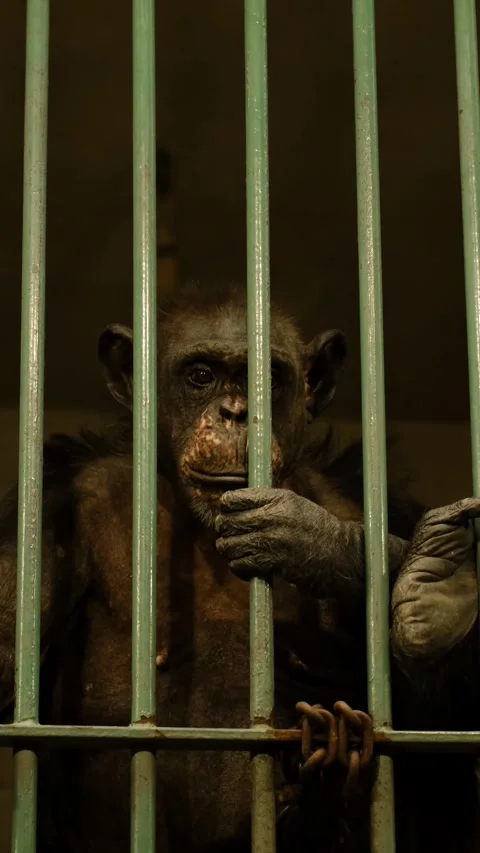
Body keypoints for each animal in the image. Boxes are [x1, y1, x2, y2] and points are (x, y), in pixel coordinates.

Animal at [0, 283, 478, 852]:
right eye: (200, 376)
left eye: (267, 378)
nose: (235, 412)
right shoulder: (59, 509)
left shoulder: (374, 501)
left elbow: (443, 756)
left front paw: (325, 543)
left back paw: (434, 595)